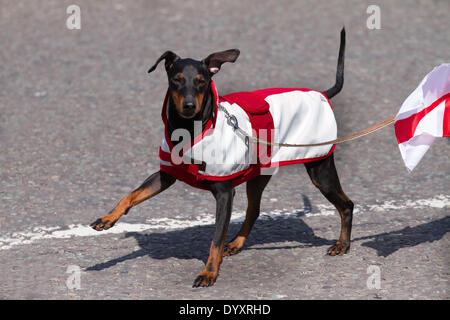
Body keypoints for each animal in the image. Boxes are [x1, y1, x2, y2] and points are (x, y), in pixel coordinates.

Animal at [89, 28, 354, 288]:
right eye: (177, 80)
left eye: (202, 82)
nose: (188, 105)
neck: (190, 130)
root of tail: (322, 95)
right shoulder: (166, 175)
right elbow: (130, 196)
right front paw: (107, 219)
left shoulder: (225, 193)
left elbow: (215, 239)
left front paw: (209, 273)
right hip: (258, 173)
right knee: (254, 210)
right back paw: (236, 243)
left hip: (320, 170)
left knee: (347, 205)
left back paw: (342, 244)